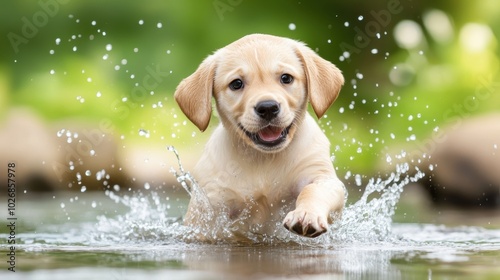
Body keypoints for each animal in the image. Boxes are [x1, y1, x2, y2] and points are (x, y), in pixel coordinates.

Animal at [175, 33, 344, 241]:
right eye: (236, 84)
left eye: (286, 78)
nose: (268, 107)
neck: (264, 158)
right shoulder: (210, 202)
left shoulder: (321, 176)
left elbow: (312, 190)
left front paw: (305, 215)